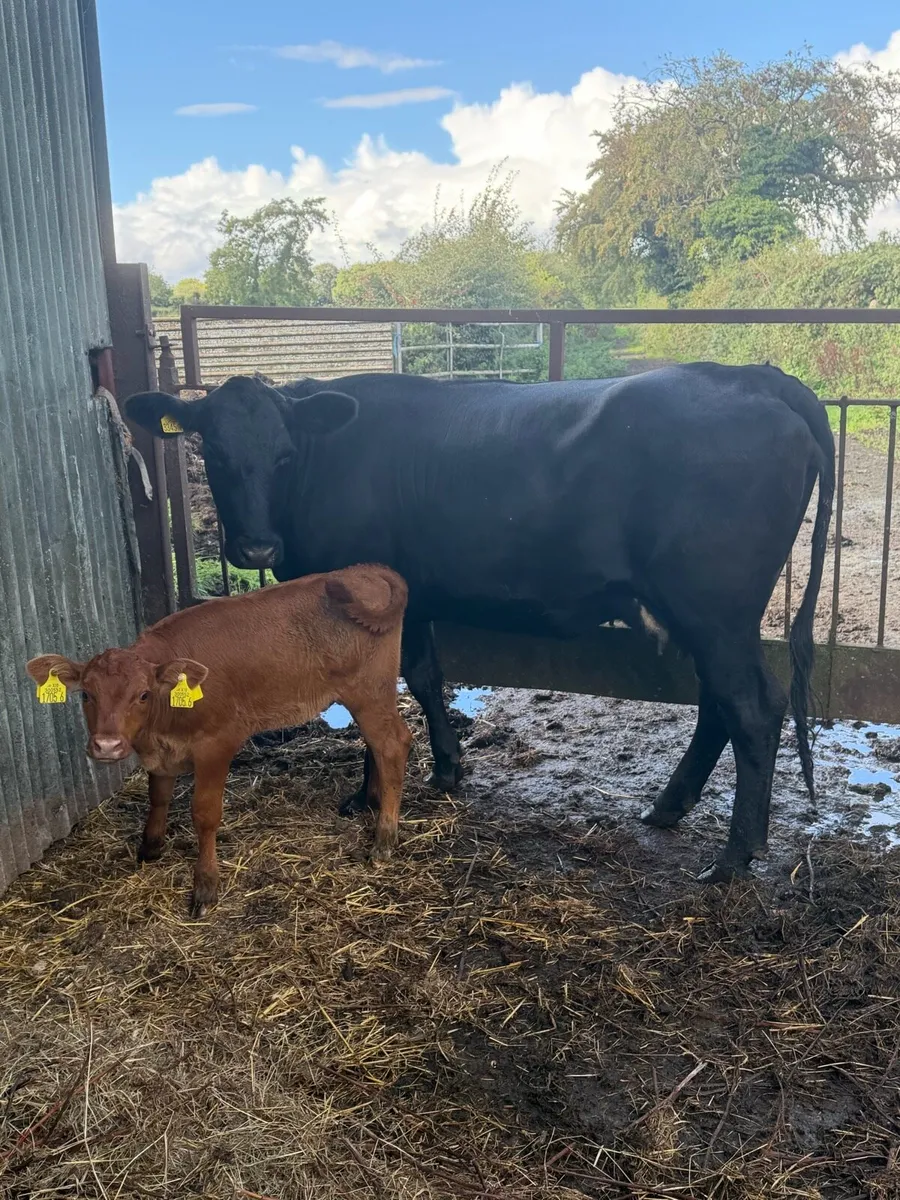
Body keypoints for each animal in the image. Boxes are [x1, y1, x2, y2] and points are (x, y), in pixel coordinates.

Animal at [27, 564, 411, 916]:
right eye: (85, 695)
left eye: (143, 695)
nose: (107, 745)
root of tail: (361, 570)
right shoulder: (162, 753)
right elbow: (158, 796)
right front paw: (151, 847)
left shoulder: (216, 744)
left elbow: (205, 814)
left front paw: (205, 886)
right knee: (379, 746)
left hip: (368, 692)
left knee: (393, 744)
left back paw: (384, 839)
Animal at [125, 363, 835, 882]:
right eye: (213, 451)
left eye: (283, 453)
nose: (256, 549)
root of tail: (754, 375)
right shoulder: (410, 603)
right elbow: (424, 675)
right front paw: (446, 768)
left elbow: (377, 696)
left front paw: (367, 796)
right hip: (708, 618)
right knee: (720, 705)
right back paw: (668, 807)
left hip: (715, 611)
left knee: (752, 709)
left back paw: (735, 856)